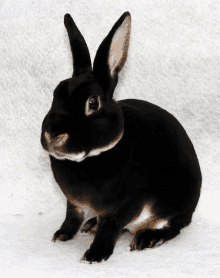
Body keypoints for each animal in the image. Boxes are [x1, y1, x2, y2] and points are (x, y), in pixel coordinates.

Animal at [40, 11, 202, 262]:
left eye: (93, 103)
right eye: (56, 93)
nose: (53, 135)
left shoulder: (120, 208)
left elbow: (110, 229)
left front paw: (94, 256)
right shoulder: (73, 203)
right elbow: (72, 218)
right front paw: (61, 235)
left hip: (174, 204)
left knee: (173, 227)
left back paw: (147, 239)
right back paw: (91, 225)